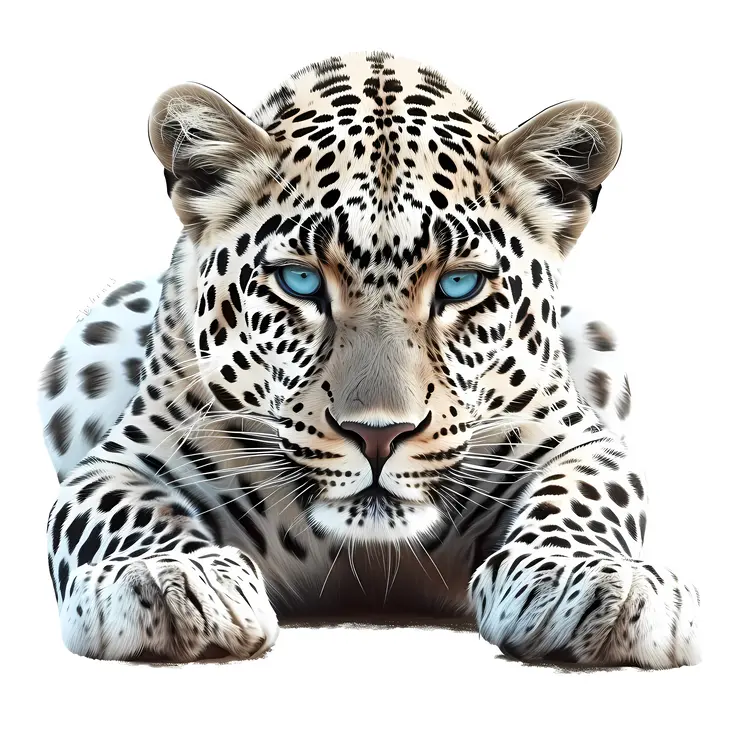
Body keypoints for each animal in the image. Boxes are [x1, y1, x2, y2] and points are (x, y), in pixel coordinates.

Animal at [40, 51, 700, 667]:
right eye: (302, 281)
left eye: (458, 285)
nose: (378, 435)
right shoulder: (126, 458)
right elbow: (121, 509)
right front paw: (166, 578)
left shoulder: (570, 437)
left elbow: (581, 498)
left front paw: (592, 581)